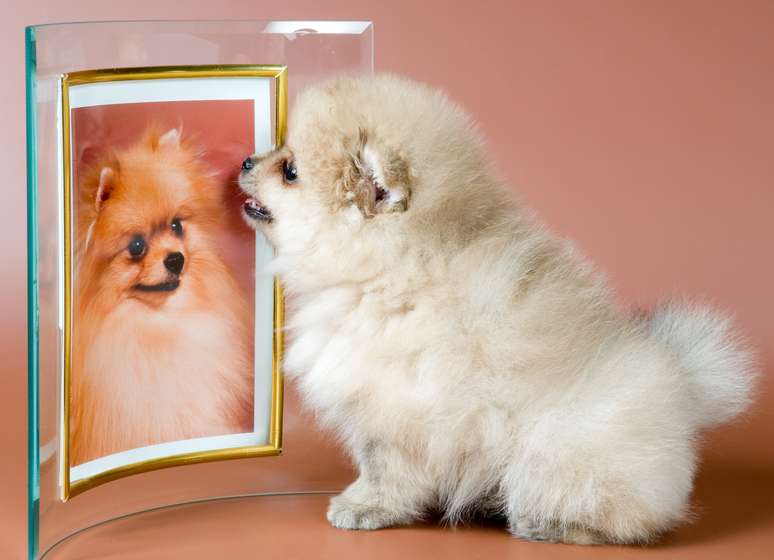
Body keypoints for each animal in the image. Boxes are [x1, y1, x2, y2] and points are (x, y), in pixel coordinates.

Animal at [238, 73, 756, 544]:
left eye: (289, 170)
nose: (245, 160)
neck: (390, 266)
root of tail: (685, 396)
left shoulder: (394, 406)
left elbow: (385, 466)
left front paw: (365, 505)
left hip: (558, 443)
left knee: (623, 516)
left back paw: (549, 524)